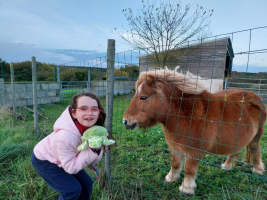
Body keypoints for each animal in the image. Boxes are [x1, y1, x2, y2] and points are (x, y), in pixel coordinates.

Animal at [123, 69, 266, 195]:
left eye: (143, 97)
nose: (125, 121)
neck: (186, 114)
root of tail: (257, 98)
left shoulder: (194, 151)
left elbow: (189, 170)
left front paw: (186, 189)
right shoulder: (175, 147)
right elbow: (175, 164)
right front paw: (170, 178)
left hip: (256, 137)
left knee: (256, 149)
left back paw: (258, 170)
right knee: (235, 151)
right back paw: (228, 166)